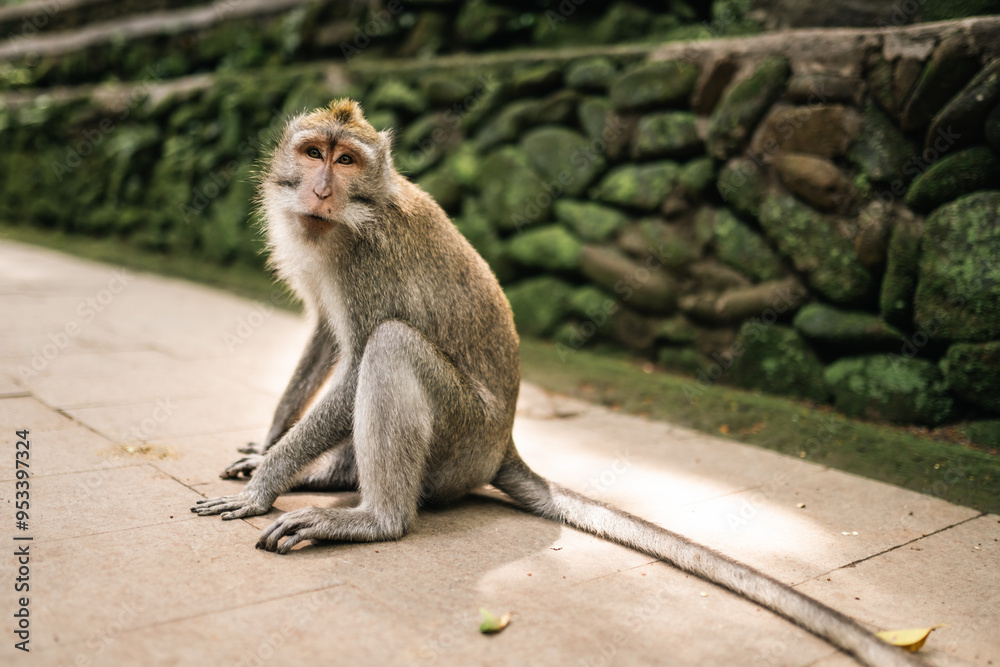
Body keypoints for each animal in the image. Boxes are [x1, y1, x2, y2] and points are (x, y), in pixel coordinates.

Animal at [191, 100, 922, 667]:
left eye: (346, 162)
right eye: (313, 151)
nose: (319, 189)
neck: (344, 221)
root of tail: (505, 444)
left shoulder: (366, 260)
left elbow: (358, 355)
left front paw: (266, 483)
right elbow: (326, 336)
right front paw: (268, 448)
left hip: (462, 439)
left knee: (393, 346)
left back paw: (374, 518)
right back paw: (332, 477)